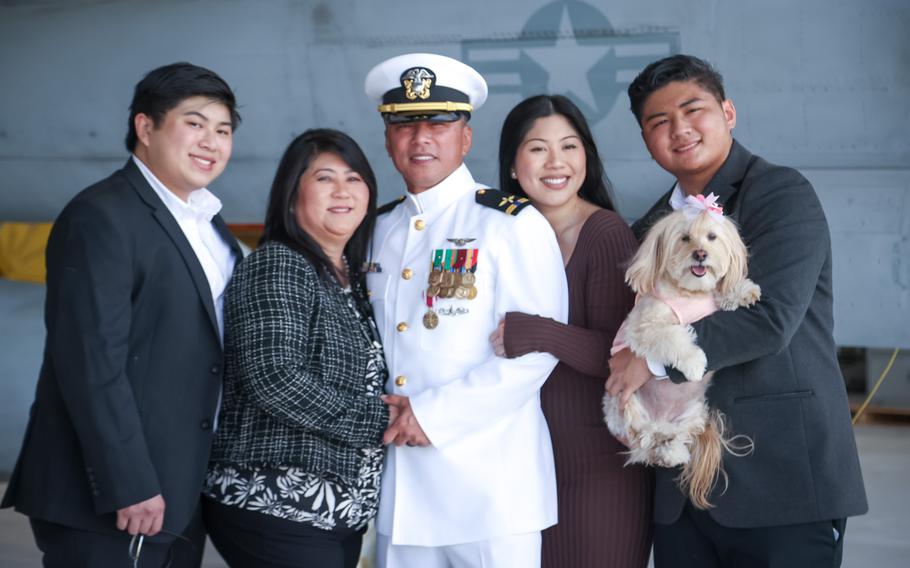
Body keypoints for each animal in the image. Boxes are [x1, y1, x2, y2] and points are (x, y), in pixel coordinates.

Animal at [604, 195, 764, 510]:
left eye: (712, 237)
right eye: (685, 238)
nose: (700, 254)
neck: (691, 293)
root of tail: (662, 421)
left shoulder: (710, 299)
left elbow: (722, 291)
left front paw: (742, 291)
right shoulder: (646, 325)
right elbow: (674, 338)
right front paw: (693, 363)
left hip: (693, 413)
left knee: (673, 438)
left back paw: (673, 452)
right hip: (624, 407)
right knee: (644, 441)